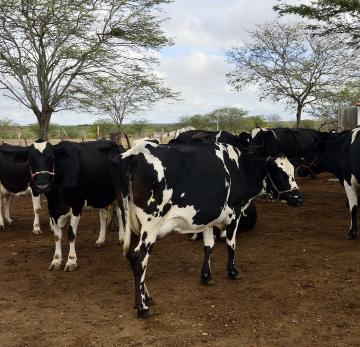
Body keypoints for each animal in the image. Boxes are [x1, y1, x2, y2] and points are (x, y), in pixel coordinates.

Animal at [0, 140, 124, 270]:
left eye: (51, 158)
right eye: (30, 160)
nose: (43, 186)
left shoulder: (76, 204)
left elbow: (71, 233)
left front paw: (71, 261)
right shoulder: (52, 206)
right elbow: (57, 235)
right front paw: (56, 260)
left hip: (119, 192)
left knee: (120, 212)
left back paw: (122, 238)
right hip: (100, 194)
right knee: (104, 214)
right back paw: (100, 240)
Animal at [112, 141, 304, 318]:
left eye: (293, 171)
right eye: (279, 174)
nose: (298, 198)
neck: (241, 168)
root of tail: (132, 155)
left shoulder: (209, 217)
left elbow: (209, 246)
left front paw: (206, 276)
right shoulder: (234, 212)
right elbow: (231, 243)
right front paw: (233, 271)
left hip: (133, 223)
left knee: (133, 256)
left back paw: (146, 297)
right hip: (151, 223)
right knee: (139, 257)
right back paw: (142, 307)